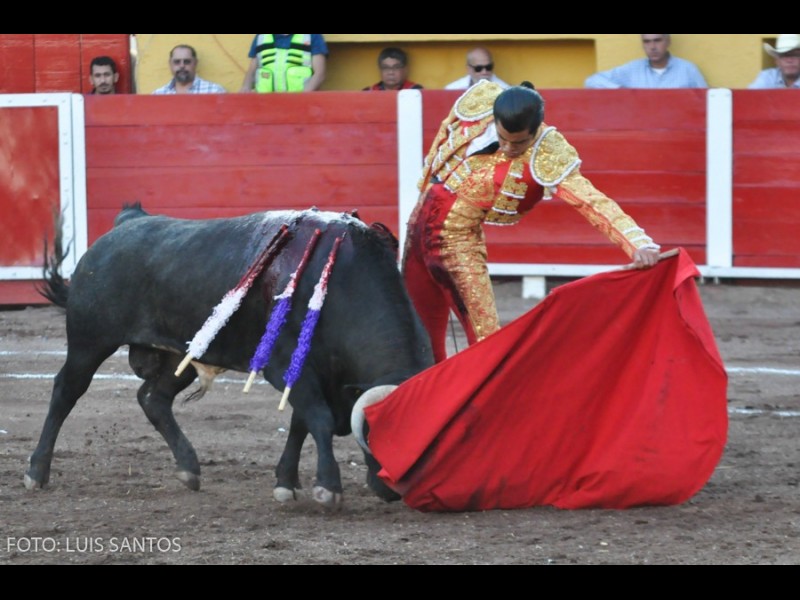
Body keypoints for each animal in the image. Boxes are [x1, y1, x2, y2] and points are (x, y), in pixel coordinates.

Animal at [25, 204, 434, 507]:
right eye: (384, 435)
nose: (394, 493)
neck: (342, 282)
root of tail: (127, 223)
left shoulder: (317, 377)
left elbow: (300, 423)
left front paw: (286, 482)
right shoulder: (287, 366)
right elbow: (317, 418)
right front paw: (327, 487)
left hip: (180, 356)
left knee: (153, 398)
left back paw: (189, 468)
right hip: (89, 342)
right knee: (65, 391)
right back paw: (36, 473)